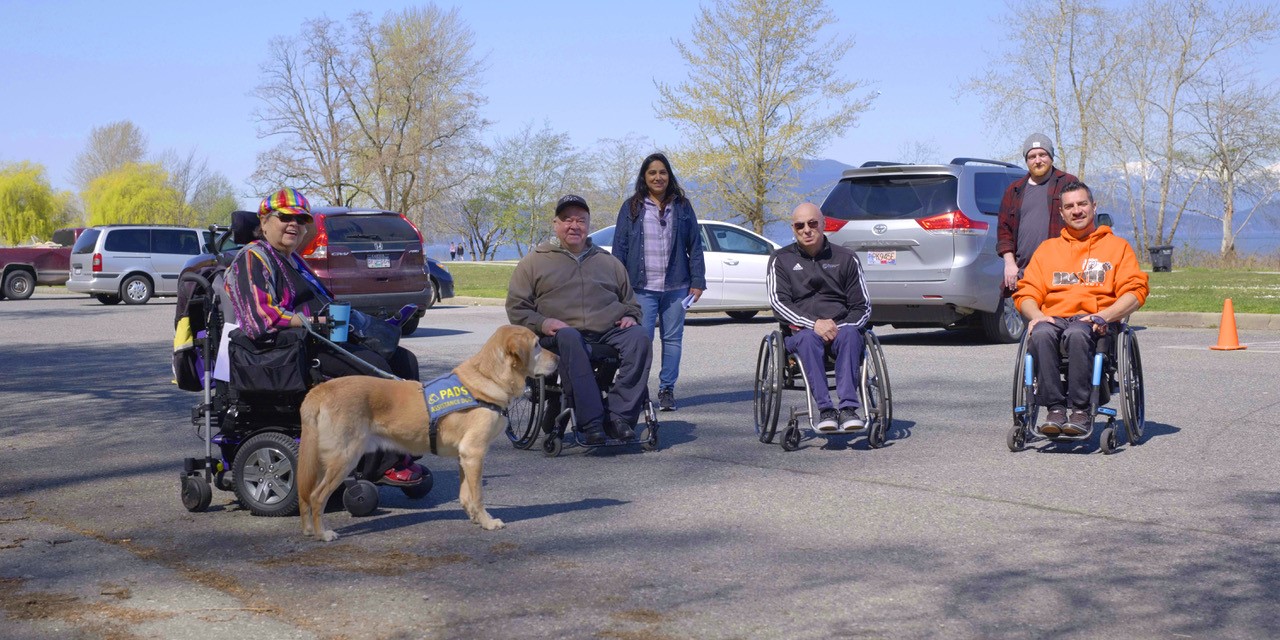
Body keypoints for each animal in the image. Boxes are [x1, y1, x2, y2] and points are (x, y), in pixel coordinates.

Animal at [297, 324, 557, 541]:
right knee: (316, 496)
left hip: (321, 461)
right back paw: (322, 533)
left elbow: (466, 494)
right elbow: (478, 495)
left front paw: (475, 518)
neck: (487, 378)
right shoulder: (474, 453)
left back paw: (308, 529)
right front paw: (487, 522)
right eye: (537, 345)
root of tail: (321, 389)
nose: (558, 358)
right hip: (344, 458)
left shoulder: (464, 456)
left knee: (305, 494)